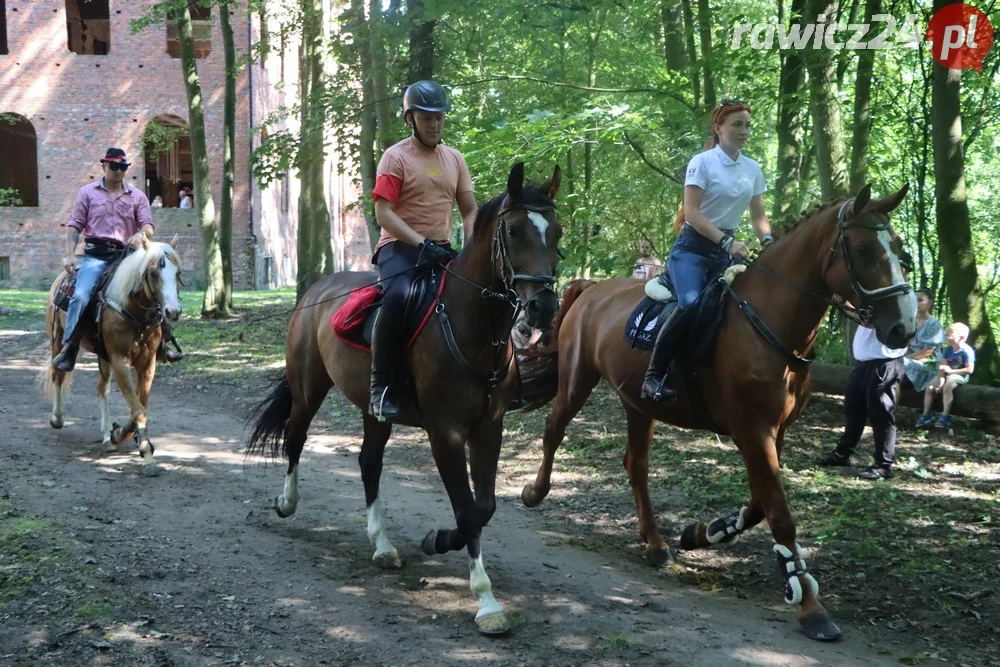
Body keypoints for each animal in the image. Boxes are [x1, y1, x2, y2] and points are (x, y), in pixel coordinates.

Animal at [43, 237, 186, 478]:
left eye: (178, 273)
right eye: (153, 272)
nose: (172, 311)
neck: (135, 312)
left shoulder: (147, 365)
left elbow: (140, 405)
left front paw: (119, 433)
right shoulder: (120, 361)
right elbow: (137, 409)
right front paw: (146, 455)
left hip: (104, 358)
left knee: (102, 389)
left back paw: (106, 434)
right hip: (59, 341)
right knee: (58, 374)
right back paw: (58, 418)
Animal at [246, 163, 564, 636]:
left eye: (556, 231)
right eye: (513, 230)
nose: (544, 307)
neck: (470, 325)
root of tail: (316, 291)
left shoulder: (489, 427)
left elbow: (484, 506)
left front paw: (438, 541)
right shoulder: (445, 432)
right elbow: (467, 509)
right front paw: (487, 602)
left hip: (374, 410)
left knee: (369, 462)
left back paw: (382, 545)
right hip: (308, 388)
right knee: (296, 436)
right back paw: (287, 503)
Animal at [520, 184, 916, 640]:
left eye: (899, 247)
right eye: (865, 248)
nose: (903, 328)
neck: (769, 322)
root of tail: (591, 289)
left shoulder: (774, 431)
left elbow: (760, 504)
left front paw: (703, 532)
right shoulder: (752, 431)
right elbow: (780, 514)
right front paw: (810, 606)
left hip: (638, 402)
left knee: (635, 464)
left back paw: (655, 544)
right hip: (577, 379)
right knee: (554, 429)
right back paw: (535, 493)